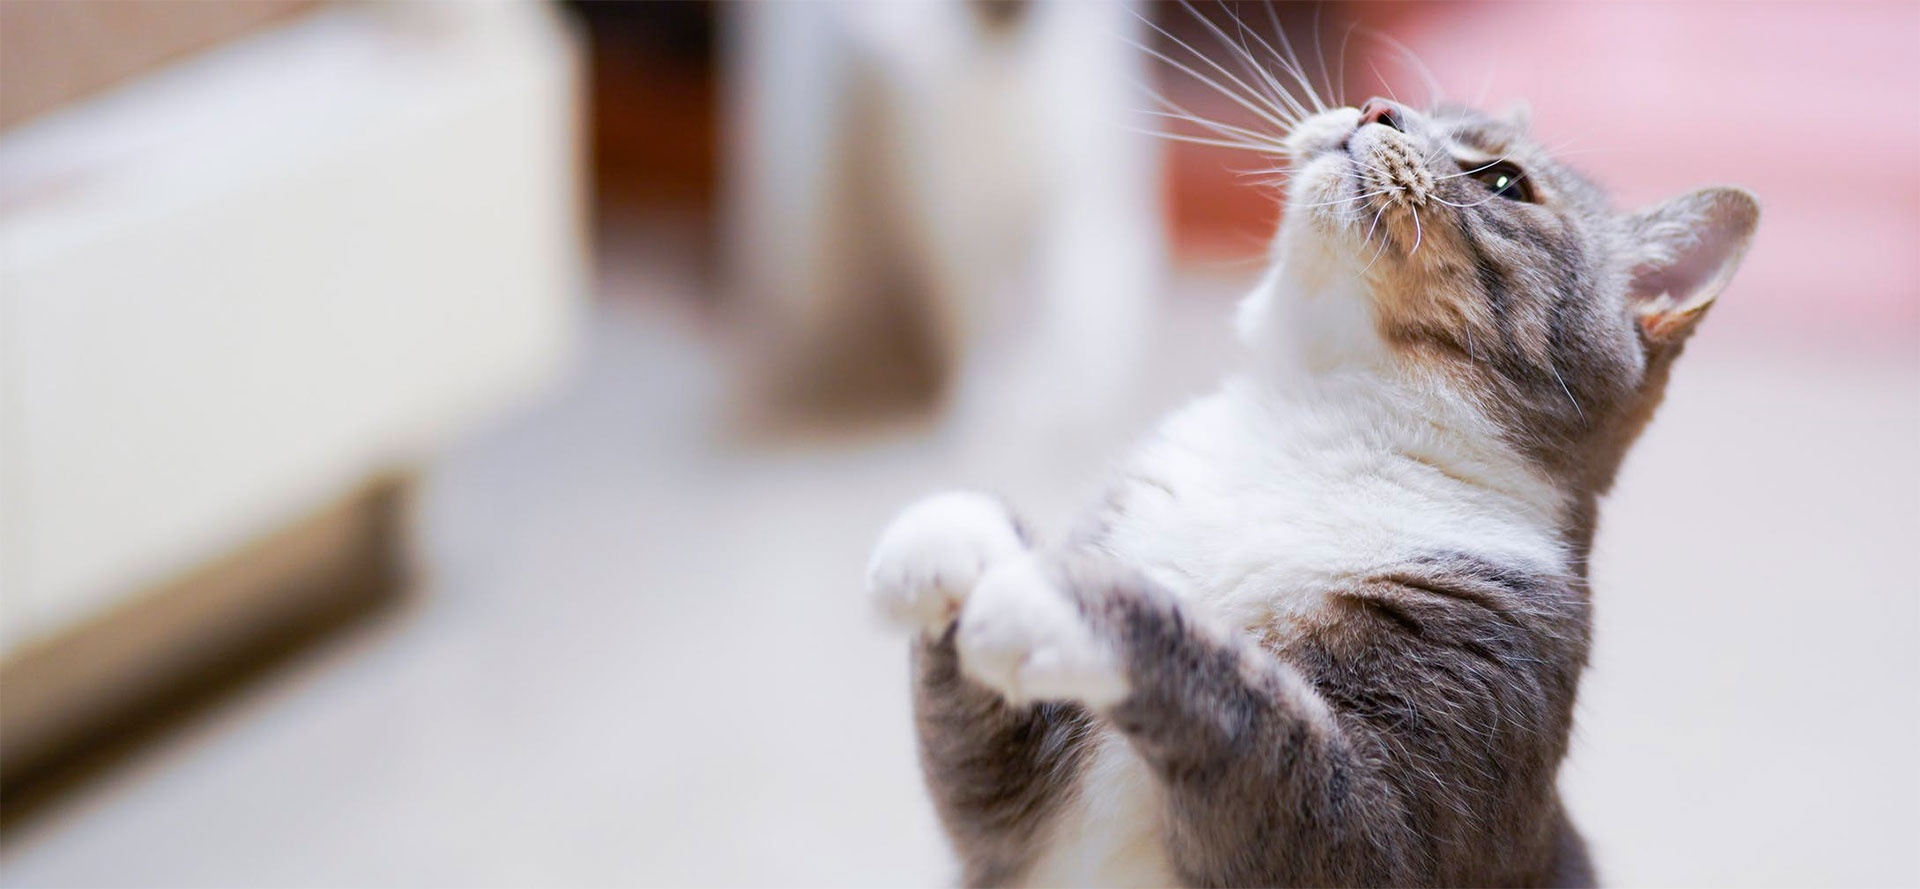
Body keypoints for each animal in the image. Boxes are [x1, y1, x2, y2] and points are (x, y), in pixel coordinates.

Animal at [864, 55, 1758, 889]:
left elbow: (1254, 709)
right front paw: (955, 536)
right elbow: (972, 775)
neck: (1311, 423)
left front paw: (1072, 606)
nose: (1376, 106)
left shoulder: (1384, 820)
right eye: (1421, 107)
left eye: (1504, 180)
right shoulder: (1009, 836)